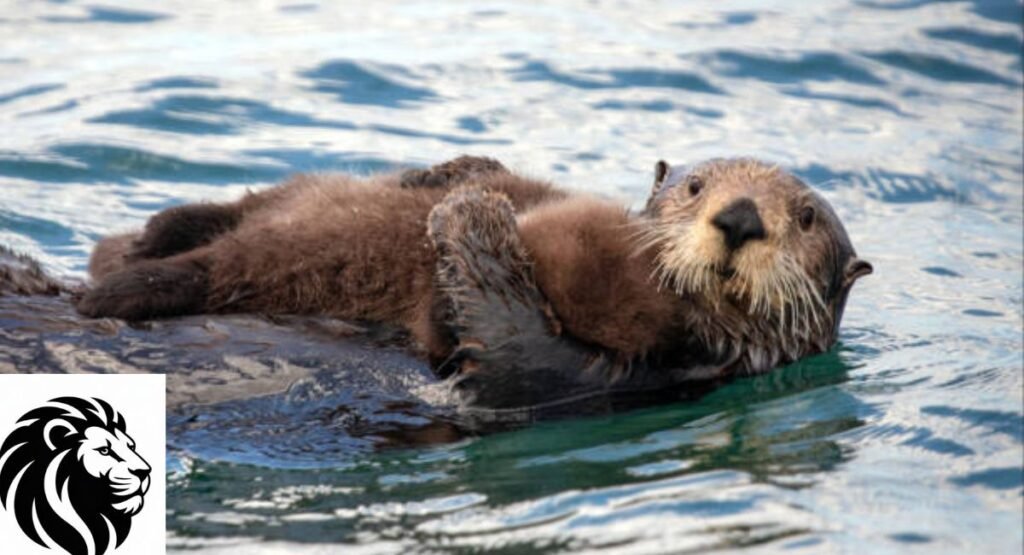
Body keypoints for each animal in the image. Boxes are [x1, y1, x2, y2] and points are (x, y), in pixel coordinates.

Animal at [75, 156, 871, 409]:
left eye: (805, 218)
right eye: (697, 186)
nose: (738, 218)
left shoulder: (608, 369)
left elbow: (492, 341)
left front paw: (469, 212)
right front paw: (455, 182)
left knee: (196, 269)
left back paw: (112, 286)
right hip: (269, 207)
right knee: (220, 216)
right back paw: (136, 243)